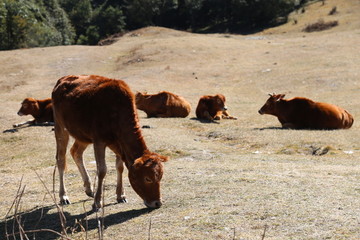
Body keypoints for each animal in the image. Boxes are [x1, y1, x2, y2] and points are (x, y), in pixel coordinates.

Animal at [51, 75, 169, 210]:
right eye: (147, 178)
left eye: (160, 176)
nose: (157, 203)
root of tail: (62, 79)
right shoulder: (99, 141)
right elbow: (102, 170)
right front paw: (97, 202)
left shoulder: (117, 143)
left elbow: (120, 167)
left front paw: (121, 195)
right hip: (60, 127)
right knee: (61, 159)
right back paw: (63, 196)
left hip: (83, 136)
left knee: (76, 152)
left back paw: (89, 188)